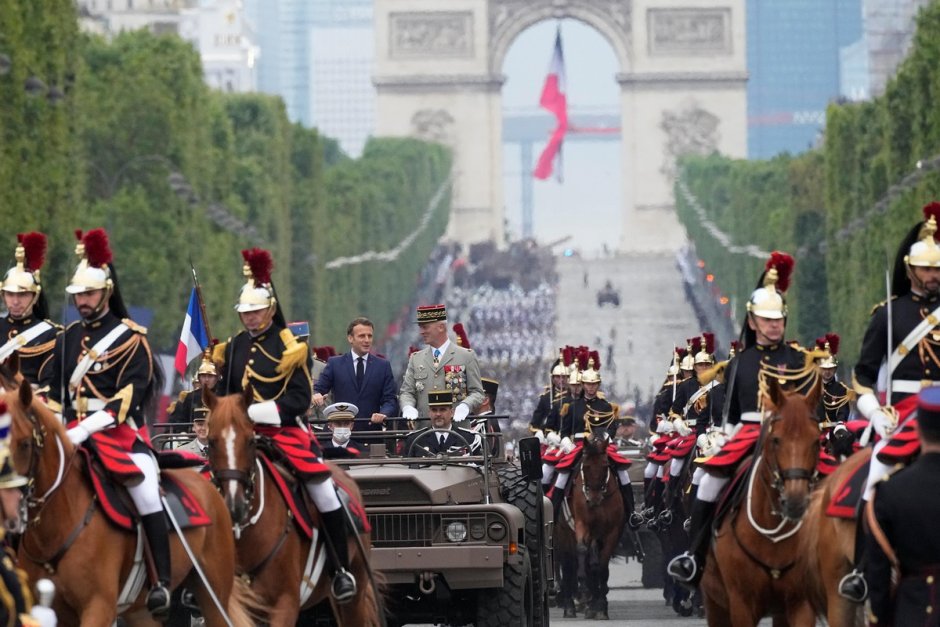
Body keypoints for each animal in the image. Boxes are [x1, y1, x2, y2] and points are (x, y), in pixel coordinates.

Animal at [564, 434, 624, 620]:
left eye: (605, 465)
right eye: (586, 466)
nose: (594, 499)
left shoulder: (612, 531)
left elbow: (602, 565)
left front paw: (600, 605)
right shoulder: (582, 524)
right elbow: (582, 551)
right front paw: (584, 587)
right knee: (569, 563)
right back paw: (572, 604)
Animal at [696, 378, 824, 627]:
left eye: (816, 441)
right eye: (776, 440)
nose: (795, 501)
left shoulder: (800, 603)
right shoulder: (741, 603)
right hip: (714, 602)